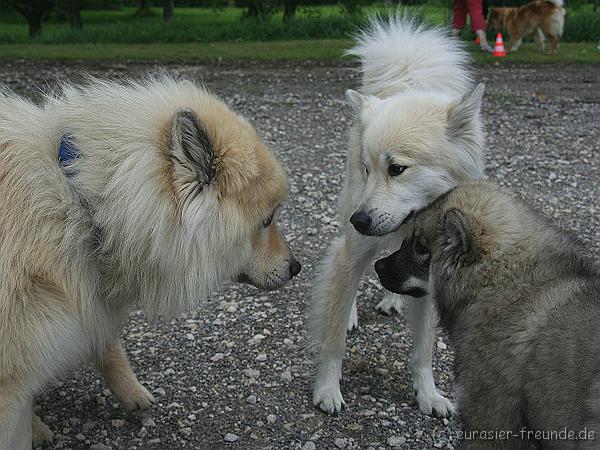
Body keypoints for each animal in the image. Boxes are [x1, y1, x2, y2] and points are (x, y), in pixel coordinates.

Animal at [312, 17, 486, 418]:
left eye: (397, 169)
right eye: (367, 169)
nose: (360, 221)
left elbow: (423, 350)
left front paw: (429, 395)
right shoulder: (352, 249)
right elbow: (332, 340)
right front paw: (327, 389)